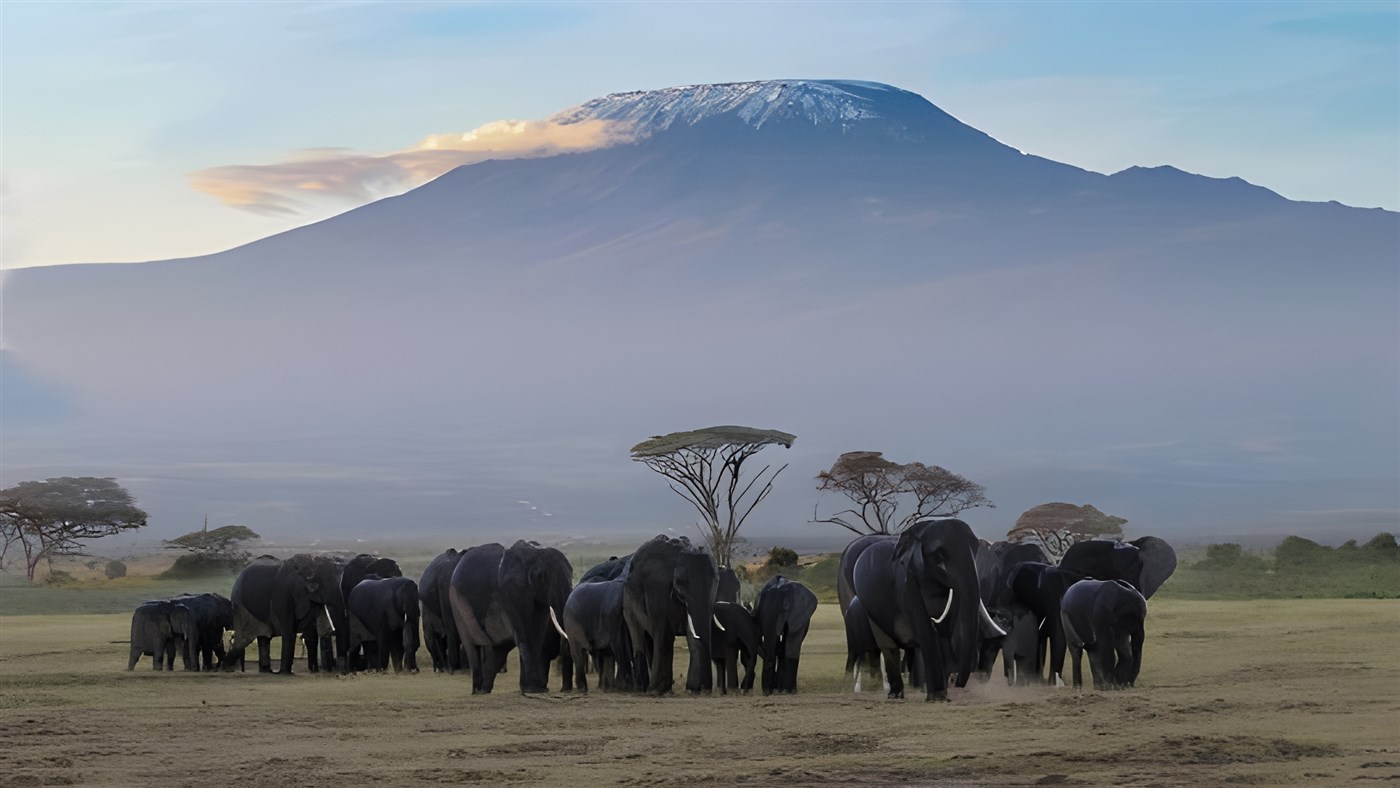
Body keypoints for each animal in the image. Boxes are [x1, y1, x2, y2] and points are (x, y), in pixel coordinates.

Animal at [496, 540, 574, 694]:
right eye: (545, 579)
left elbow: (538, 630)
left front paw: (539, 687)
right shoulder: (517, 589)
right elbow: (524, 631)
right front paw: (535, 689)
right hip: (504, 593)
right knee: (520, 633)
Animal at [622, 535, 718, 695]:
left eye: (716, 580)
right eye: (681, 582)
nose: (707, 689)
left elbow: (693, 634)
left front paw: (693, 690)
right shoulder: (658, 587)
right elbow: (665, 632)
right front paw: (657, 691)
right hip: (627, 602)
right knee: (637, 633)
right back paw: (642, 689)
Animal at [852, 519, 1004, 701]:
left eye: (975, 549)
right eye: (939, 556)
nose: (959, 684)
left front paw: (943, 696)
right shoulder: (906, 584)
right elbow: (926, 632)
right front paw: (937, 697)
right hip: (870, 608)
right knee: (888, 646)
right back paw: (895, 695)